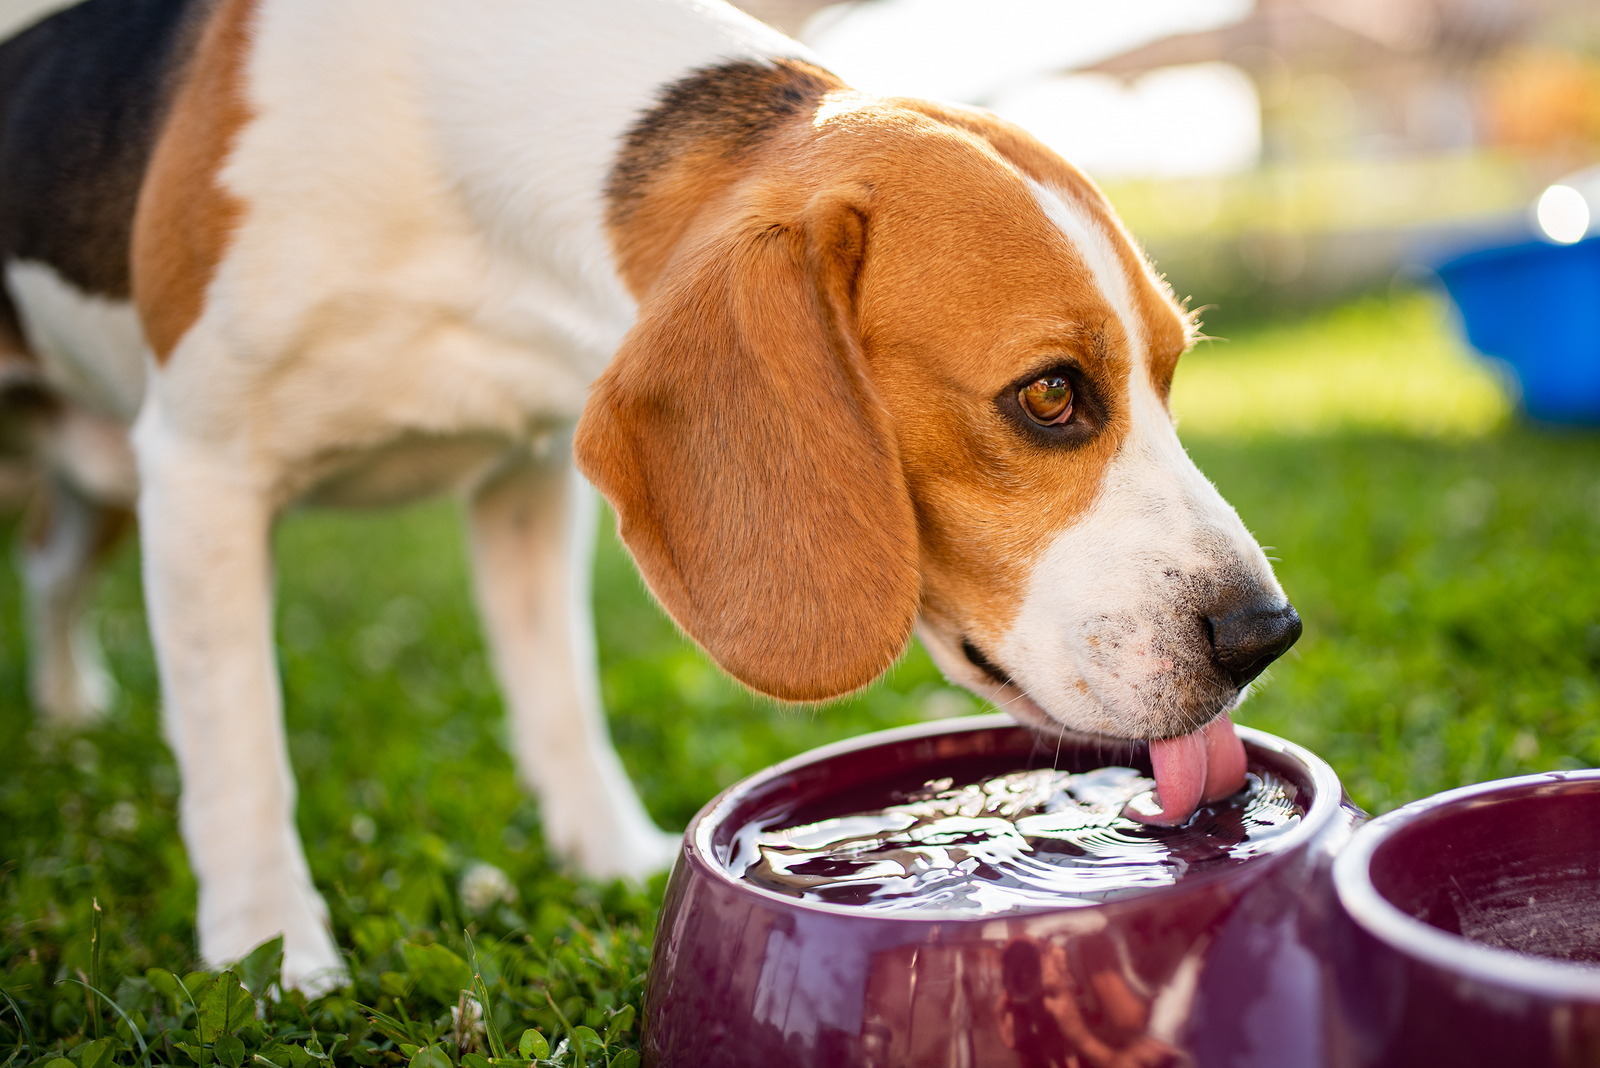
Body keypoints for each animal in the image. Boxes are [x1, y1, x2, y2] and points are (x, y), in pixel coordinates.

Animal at [0, 0, 1299, 991]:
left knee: (53, 575)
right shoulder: (203, 467)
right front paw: (272, 958)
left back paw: (66, 708)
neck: (452, 173)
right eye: (1050, 395)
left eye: (1170, 374)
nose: (1263, 634)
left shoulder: (526, 475)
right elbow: (238, 750)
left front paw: (609, 856)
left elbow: (559, 696)